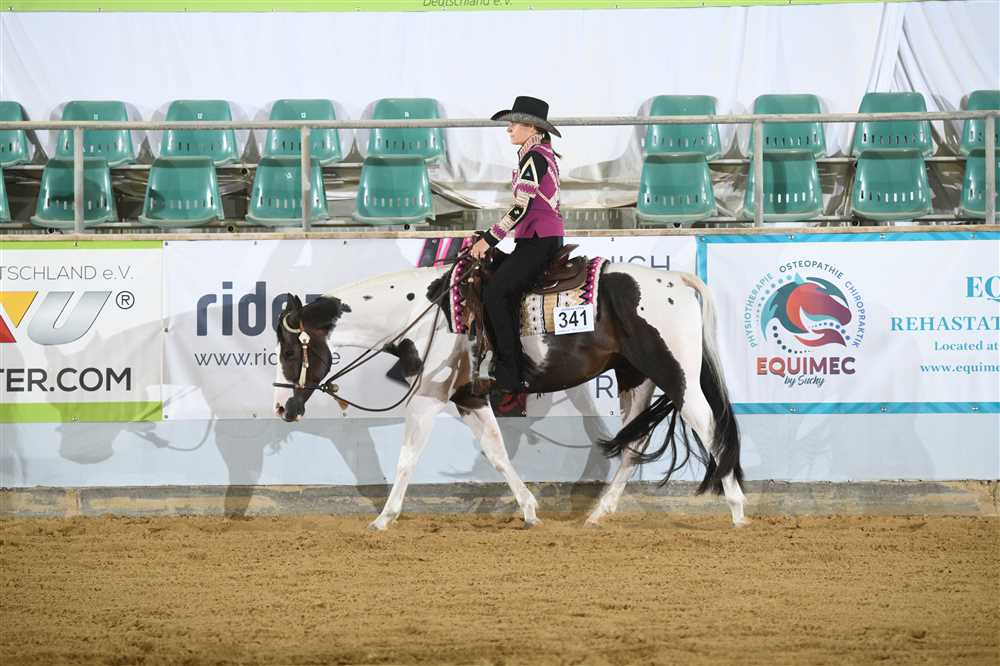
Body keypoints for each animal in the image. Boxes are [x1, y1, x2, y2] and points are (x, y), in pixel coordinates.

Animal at [272, 259, 748, 531]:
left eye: (290, 350)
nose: (281, 407)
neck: (425, 311)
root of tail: (676, 280)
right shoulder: (469, 397)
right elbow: (497, 451)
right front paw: (530, 510)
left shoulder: (429, 397)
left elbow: (408, 456)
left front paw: (383, 518)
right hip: (636, 377)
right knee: (635, 440)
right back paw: (598, 513)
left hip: (676, 375)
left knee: (710, 426)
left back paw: (738, 509)